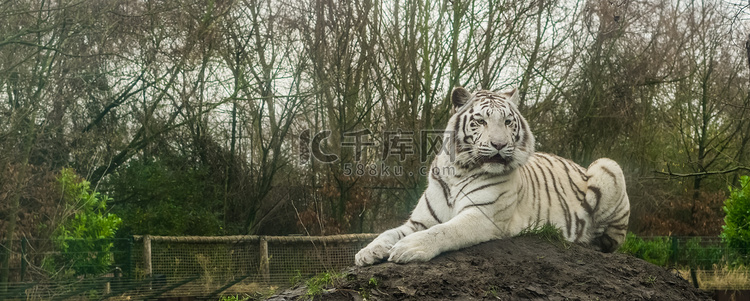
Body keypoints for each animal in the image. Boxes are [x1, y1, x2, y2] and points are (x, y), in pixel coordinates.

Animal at [356, 86, 632, 264]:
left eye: (508, 122)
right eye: (480, 121)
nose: (499, 145)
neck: (459, 171)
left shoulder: (482, 215)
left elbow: (445, 231)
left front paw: (409, 248)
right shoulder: (419, 221)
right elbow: (389, 232)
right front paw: (367, 252)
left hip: (608, 165)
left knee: (609, 243)